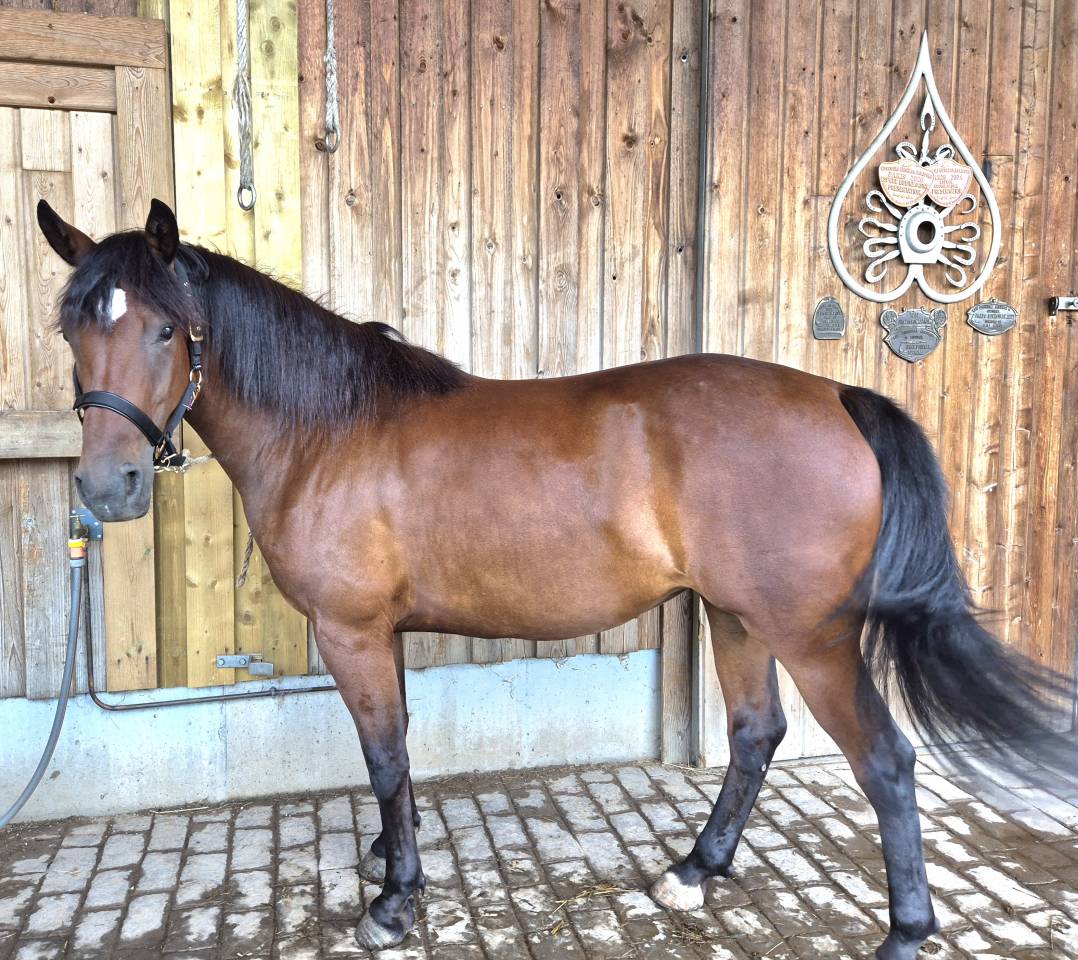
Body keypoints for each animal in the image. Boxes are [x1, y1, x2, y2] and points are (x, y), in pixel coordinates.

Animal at [36, 198, 1075, 959]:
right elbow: (396, 755)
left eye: (167, 331)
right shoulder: (383, 635)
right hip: (735, 617)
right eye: (72, 331)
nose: (106, 486)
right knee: (754, 736)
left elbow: (383, 755)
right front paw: (388, 859)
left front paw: (394, 901)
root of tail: (837, 395)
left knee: (886, 763)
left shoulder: (353, 631)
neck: (331, 428)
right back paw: (693, 870)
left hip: (809, 636)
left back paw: (903, 932)